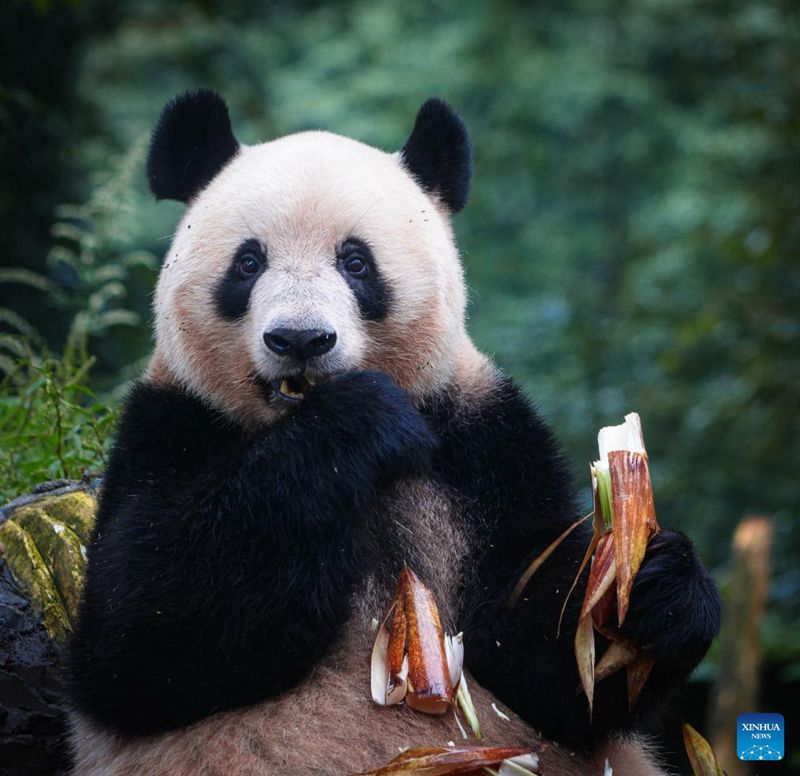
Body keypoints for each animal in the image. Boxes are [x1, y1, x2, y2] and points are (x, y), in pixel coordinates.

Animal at [66, 91, 721, 775]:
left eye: (356, 262)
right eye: (248, 263)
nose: (300, 339)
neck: (287, 423)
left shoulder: (481, 438)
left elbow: (542, 664)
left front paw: (655, 589)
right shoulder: (172, 424)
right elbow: (139, 635)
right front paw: (360, 420)